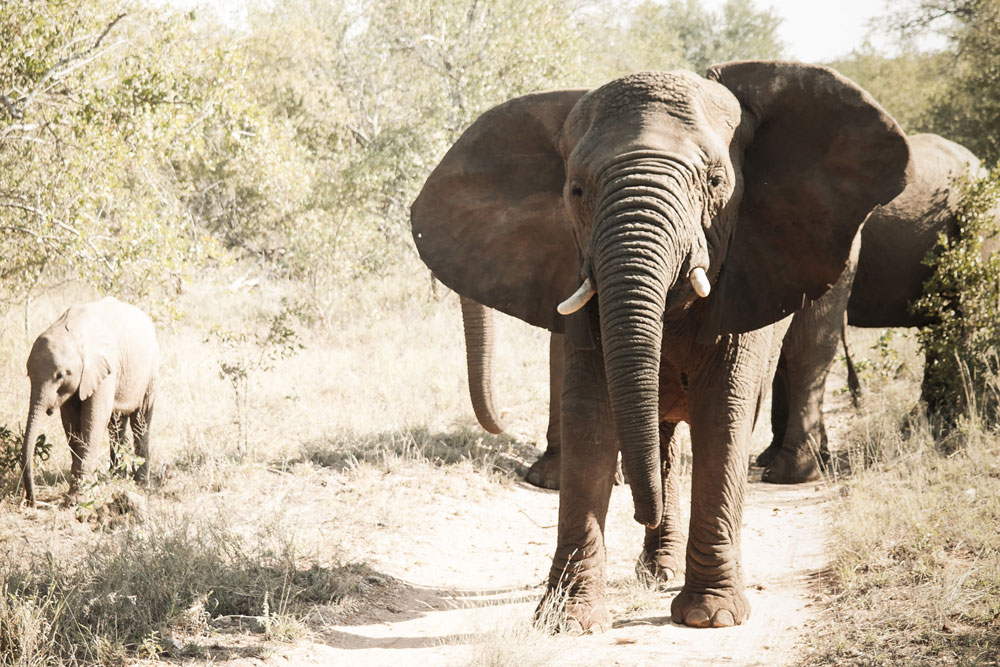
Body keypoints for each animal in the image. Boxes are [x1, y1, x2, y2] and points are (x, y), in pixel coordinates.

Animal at [21, 298, 159, 506]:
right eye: (29, 374)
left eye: (60, 375)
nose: (32, 501)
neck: (73, 331)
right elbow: (71, 423)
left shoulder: (106, 368)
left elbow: (93, 419)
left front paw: (78, 499)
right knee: (116, 424)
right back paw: (116, 477)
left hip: (149, 372)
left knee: (140, 420)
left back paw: (141, 484)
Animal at [410, 62, 912, 632]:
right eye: (576, 190)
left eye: (715, 182)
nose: (638, 509)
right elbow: (591, 417)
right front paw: (567, 621)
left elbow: (724, 413)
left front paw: (710, 618)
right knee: (664, 437)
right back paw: (657, 568)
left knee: (800, 354)